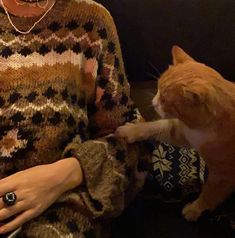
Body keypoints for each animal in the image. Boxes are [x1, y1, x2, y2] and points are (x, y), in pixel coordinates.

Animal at [116, 46, 235, 221]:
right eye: (158, 88)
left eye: (165, 100)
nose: (153, 103)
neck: (202, 130)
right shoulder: (183, 133)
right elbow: (153, 127)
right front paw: (132, 130)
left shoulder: (224, 176)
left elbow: (210, 195)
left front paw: (195, 209)